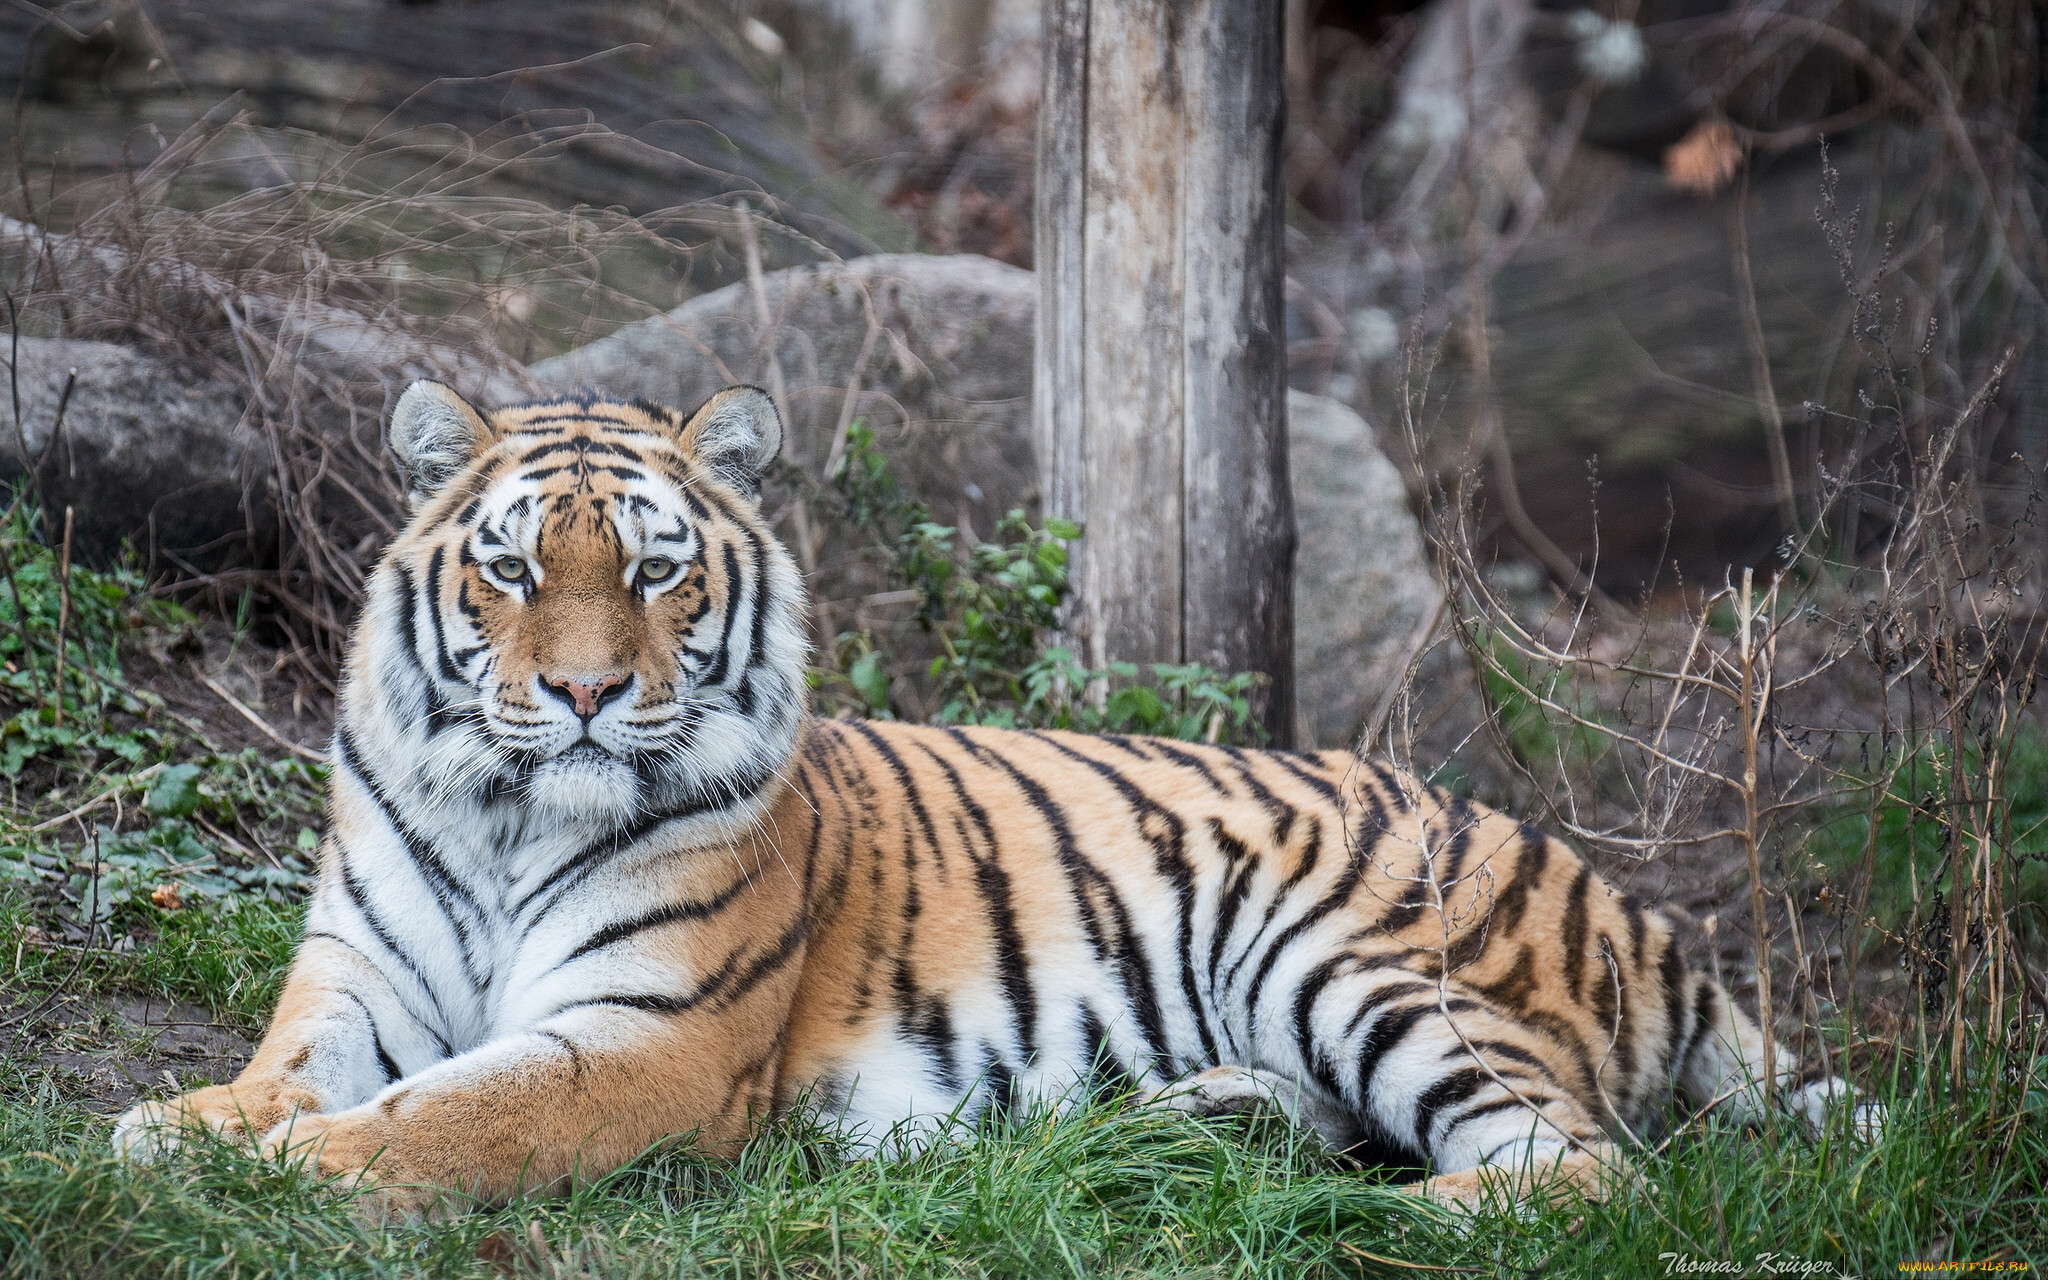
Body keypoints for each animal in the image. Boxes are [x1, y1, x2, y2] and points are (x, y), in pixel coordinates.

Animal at [112, 376, 1875, 1220]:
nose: (588, 697)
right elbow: (284, 1073)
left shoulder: (647, 1038)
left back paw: (1394, 1234)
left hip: (1363, 956)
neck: (502, 811)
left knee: (1582, 1176)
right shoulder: (365, 978)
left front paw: (283, 1172)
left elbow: (458, 1115)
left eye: (659, 576)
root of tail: (1628, 901)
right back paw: (1157, 1122)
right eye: (515, 572)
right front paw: (174, 1130)